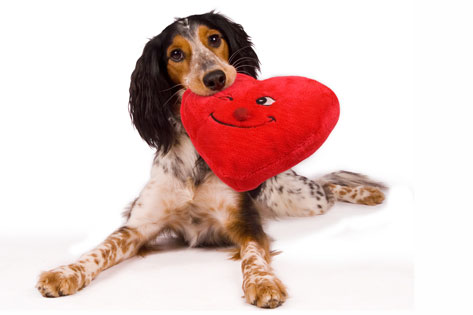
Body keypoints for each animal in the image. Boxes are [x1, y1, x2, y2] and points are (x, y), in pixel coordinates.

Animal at [36, 11, 384, 308]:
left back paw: (370, 193)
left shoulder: (244, 223)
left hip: (299, 199)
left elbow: (253, 256)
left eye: (214, 39)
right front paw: (64, 273)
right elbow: (99, 249)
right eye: (176, 54)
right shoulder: (138, 227)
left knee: (329, 186)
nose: (215, 77)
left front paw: (263, 283)